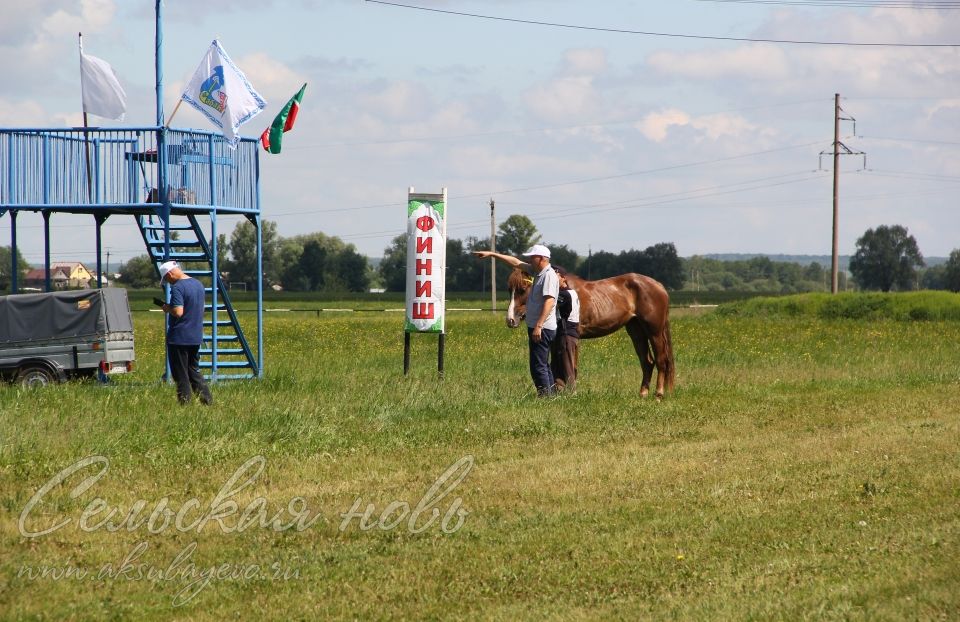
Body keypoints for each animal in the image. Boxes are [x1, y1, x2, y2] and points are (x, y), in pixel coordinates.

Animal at [502, 268, 676, 400]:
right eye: (510, 290)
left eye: (522, 290)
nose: (511, 320)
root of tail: (659, 286)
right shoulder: (556, 341)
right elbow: (555, 365)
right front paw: (558, 391)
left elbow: (571, 366)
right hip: (636, 331)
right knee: (647, 362)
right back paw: (643, 393)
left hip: (654, 331)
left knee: (661, 361)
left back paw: (658, 395)